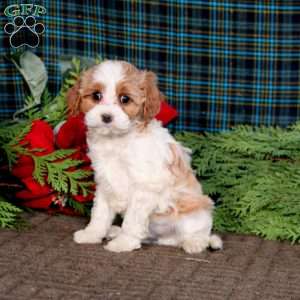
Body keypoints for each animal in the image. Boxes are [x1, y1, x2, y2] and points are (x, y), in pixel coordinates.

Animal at [69, 60, 221, 253]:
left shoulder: (144, 187)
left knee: (198, 232)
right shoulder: (105, 182)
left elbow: (132, 220)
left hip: (194, 213)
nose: (106, 117)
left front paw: (124, 243)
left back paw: (195, 243)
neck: (116, 140)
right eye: (96, 96)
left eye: (125, 99)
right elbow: (100, 213)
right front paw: (92, 234)